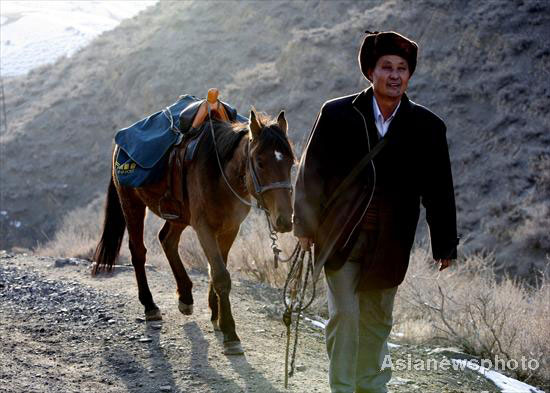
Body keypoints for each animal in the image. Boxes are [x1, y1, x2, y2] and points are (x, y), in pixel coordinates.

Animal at [92, 108, 296, 354]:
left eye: (291, 163)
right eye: (260, 162)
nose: (284, 220)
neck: (221, 174)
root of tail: (119, 145)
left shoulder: (230, 228)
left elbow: (217, 270)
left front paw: (215, 313)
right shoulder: (204, 228)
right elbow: (220, 275)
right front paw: (230, 331)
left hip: (178, 216)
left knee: (167, 240)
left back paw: (186, 296)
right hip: (132, 205)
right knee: (138, 251)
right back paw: (150, 305)